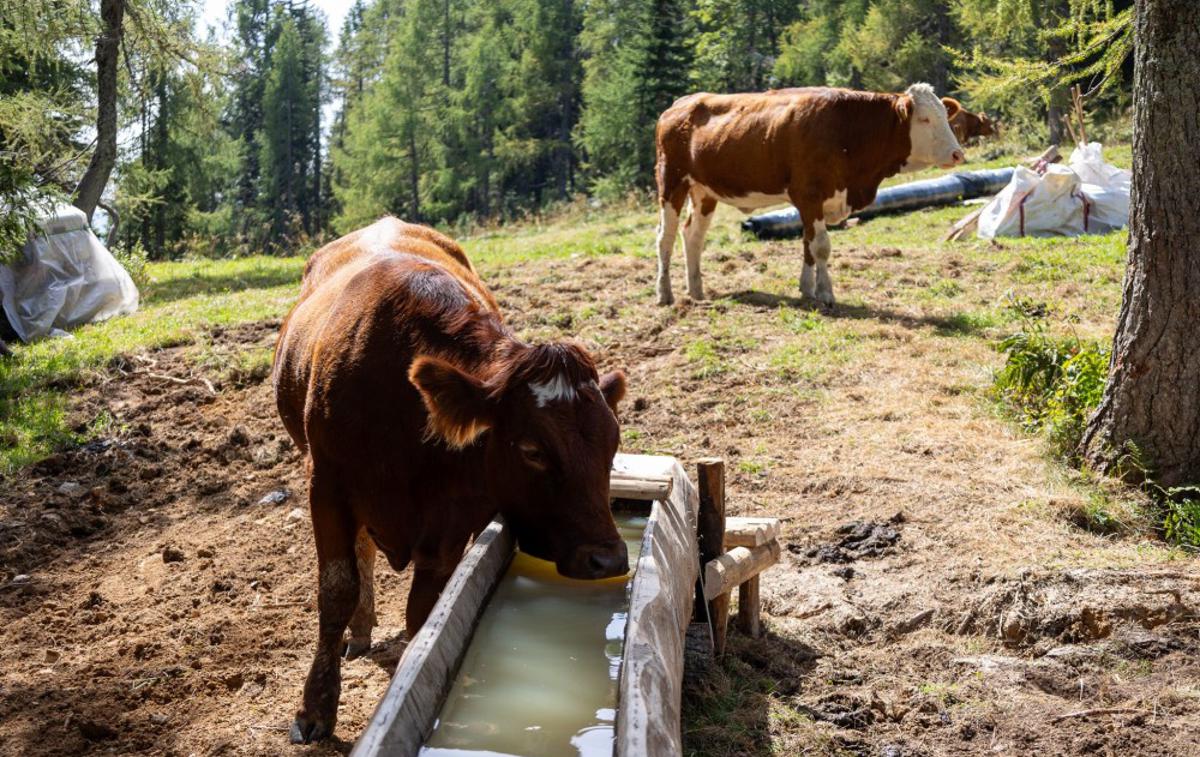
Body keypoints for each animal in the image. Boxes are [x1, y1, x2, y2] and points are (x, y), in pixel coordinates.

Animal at [272, 215, 628, 743]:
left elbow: (427, 611)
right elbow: (336, 589)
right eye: (533, 450)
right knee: (362, 551)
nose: (608, 558)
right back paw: (360, 630)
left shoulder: (453, 519)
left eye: (612, 443)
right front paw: (315, 709)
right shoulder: (326, 484)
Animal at [657, 83, 964, 304]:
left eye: (944, 116)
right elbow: (821, 246)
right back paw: (665, 294)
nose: (957, 153)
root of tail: (680, 104)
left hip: (704, 191)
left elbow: (808, 244)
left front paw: (807, 289)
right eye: (924, 119)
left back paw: (696, 291)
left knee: (693, 235)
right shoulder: (809, 195)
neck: (846, 131)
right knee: (666, 236)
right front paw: (826, 293)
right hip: (671, 181)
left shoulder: (814, 201)